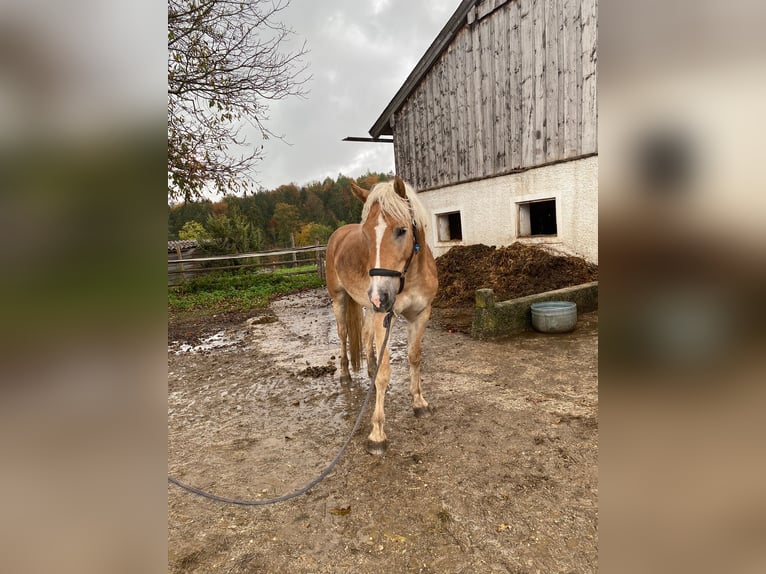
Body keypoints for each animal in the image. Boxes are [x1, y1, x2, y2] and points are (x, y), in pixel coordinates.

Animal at [328, 176, 440, 454]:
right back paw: (345, 374)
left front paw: (419, 402)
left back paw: (368, 367)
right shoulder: (384, 316)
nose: (380, 295)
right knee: (343, 335)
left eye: (401, 230)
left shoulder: (420, 314)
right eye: (366, 234)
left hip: (370, 309)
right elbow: (385, 373)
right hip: (341, 300)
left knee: (366, 336)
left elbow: (414, 358)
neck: (409, 276)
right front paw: (377, 434)